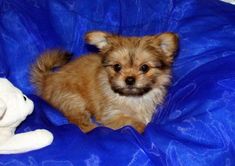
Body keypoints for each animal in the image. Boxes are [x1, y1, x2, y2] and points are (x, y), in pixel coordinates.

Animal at [31, 30, 178, 133]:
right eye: (117, 67)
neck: (132, 98)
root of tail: (47, 79)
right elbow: (133, 122)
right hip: (72, 99)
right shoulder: (112, 115)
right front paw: (141, 127)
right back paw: (93, 128)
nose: (130, 79)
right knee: (78, 121)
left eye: (144, 68)